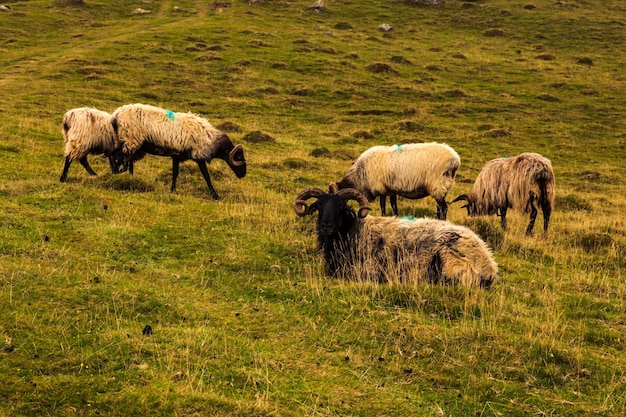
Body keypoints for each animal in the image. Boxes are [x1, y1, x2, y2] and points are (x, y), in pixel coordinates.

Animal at [108, 101, 245, 197]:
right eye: (238, 156)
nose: (243, 174)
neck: (211, 140)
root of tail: (116, 114)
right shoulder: (199, 156)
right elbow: (206, 176)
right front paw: (215, 196)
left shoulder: (177, 156)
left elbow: (175, 173)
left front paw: (173, 190)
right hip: (130, 140)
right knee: (117, 158)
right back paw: (117, 177)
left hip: (127, 142)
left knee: (116, 157)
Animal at [294, 187, 498, 288]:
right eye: (318, 205)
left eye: (341, 206)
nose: (326, 226)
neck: (351, 230)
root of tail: (489, 263)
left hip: (451, 263)